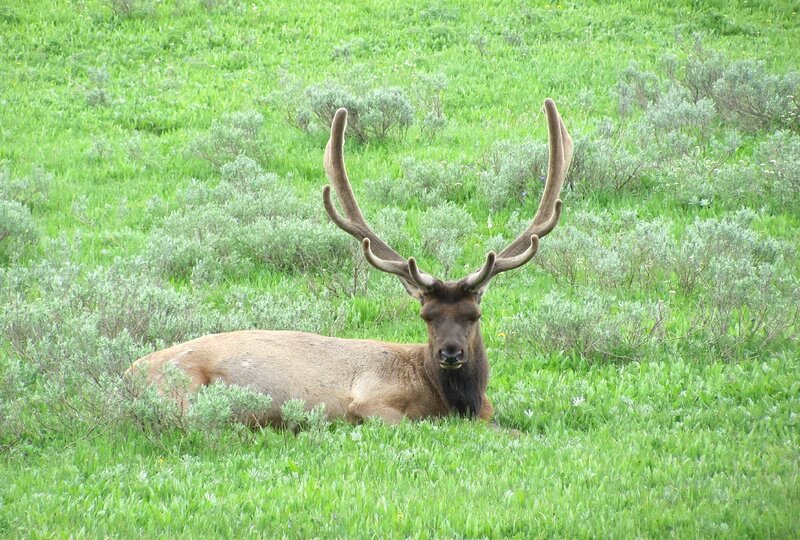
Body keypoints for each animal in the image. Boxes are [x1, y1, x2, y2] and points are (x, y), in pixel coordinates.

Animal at [127, 99, 573, 427]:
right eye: (427, 316)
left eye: (473, 314)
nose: (450, 353)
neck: (456, 400)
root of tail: (126, 376)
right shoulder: (371, 401)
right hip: (183, 393)